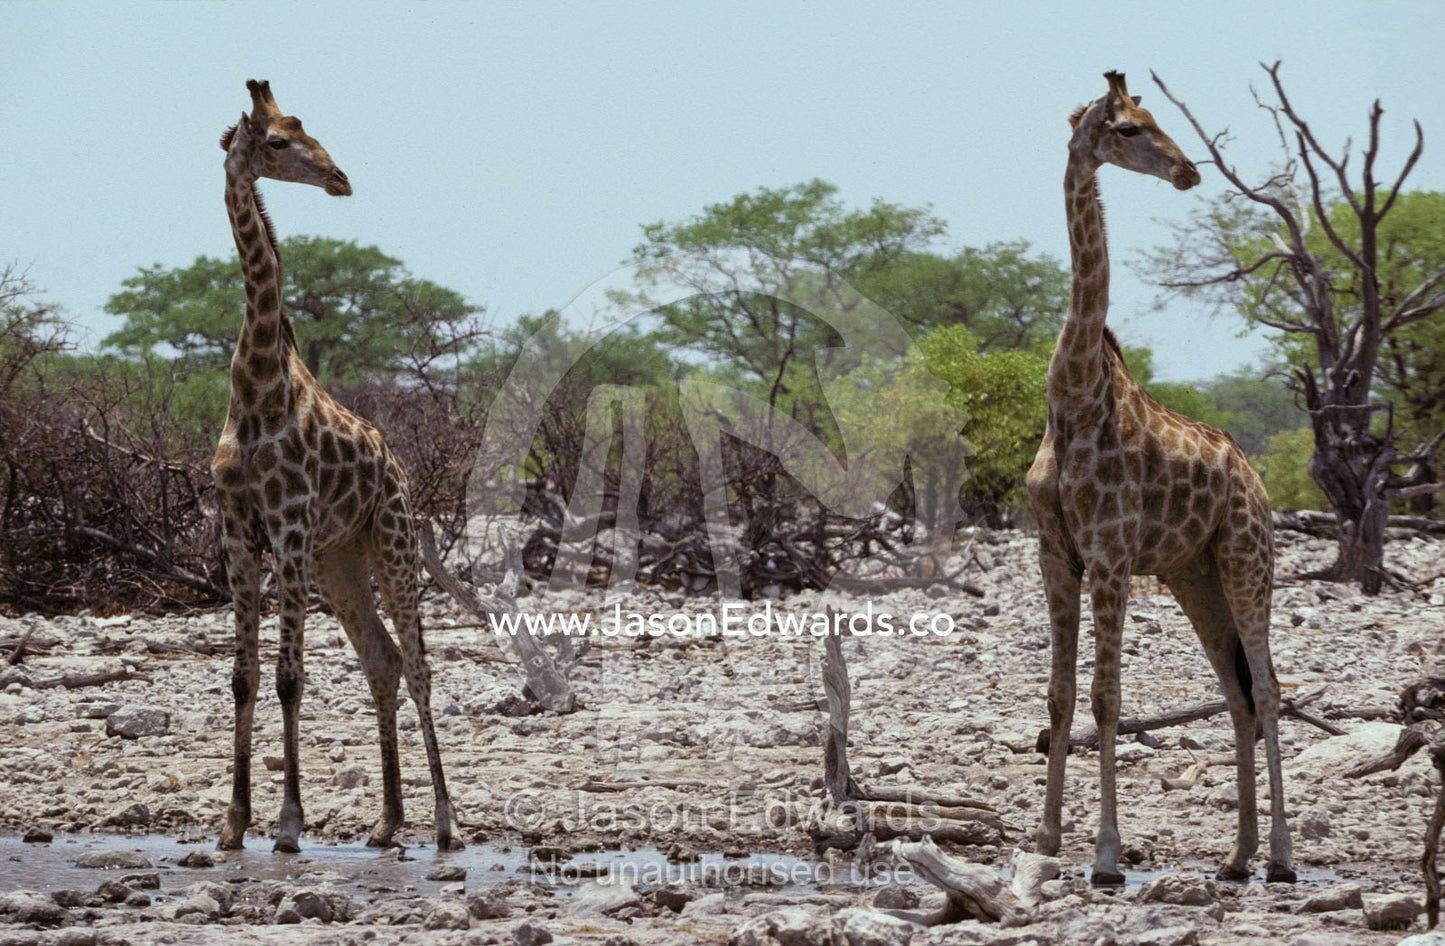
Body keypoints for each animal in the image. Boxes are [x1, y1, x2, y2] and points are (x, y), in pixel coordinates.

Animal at [211, 79, 459, 853]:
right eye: (278, 140)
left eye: (304, 129)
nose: (340, 178)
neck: (256, 386)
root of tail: (400, 468)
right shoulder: (237, 532)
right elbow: (245, 676)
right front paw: (233, 824)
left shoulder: (288, 527)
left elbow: (290, 677)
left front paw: (289, 824)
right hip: (338, 561)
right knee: (381, 660)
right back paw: (386, 822)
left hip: (392, 542)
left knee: (417, 665)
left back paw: (446, 822)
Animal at [1025, 71, 1295, 885]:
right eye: (1126, 128)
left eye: (1152, 119)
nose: (1188, 171)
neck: (1073, 400)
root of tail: (1254, 478)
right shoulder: (1056, 556)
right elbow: (1059, 696)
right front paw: (1046, 839)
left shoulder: (1110, 556)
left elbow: (1106, 699)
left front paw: (1107, 855)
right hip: (1192, 574)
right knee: (1237, 693)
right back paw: (1236, 857)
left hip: (1245, 558)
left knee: (1269, 688)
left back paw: (1280, 857)